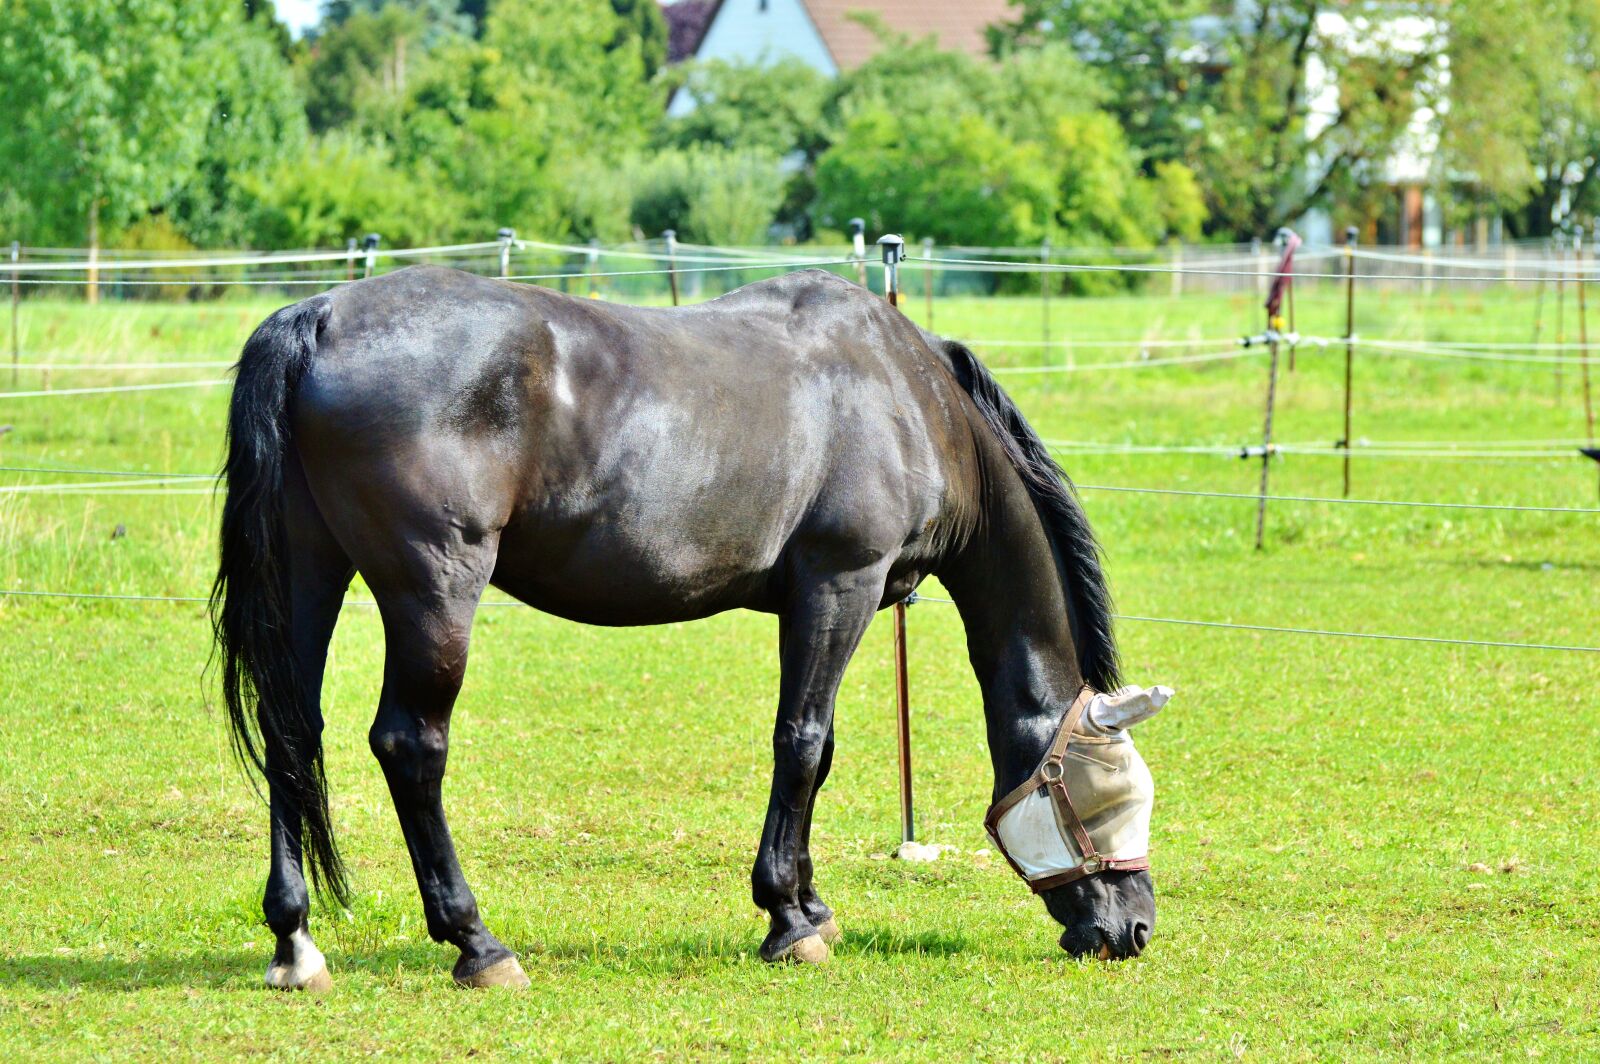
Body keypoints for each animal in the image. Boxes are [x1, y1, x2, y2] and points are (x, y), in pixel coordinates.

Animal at [212, 264, 1169, 991]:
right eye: (1110, 791)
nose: (1134, 930)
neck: (909, 399)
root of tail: (320, 316)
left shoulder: (814, 602)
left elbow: (820, 750)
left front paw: (811, 904)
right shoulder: (841, 585)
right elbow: (802, 743)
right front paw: (787, 919)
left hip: (309, 573)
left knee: (292, 729)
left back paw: (295, 943)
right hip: (435, 590)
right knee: (411, 744)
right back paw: (476, 942)